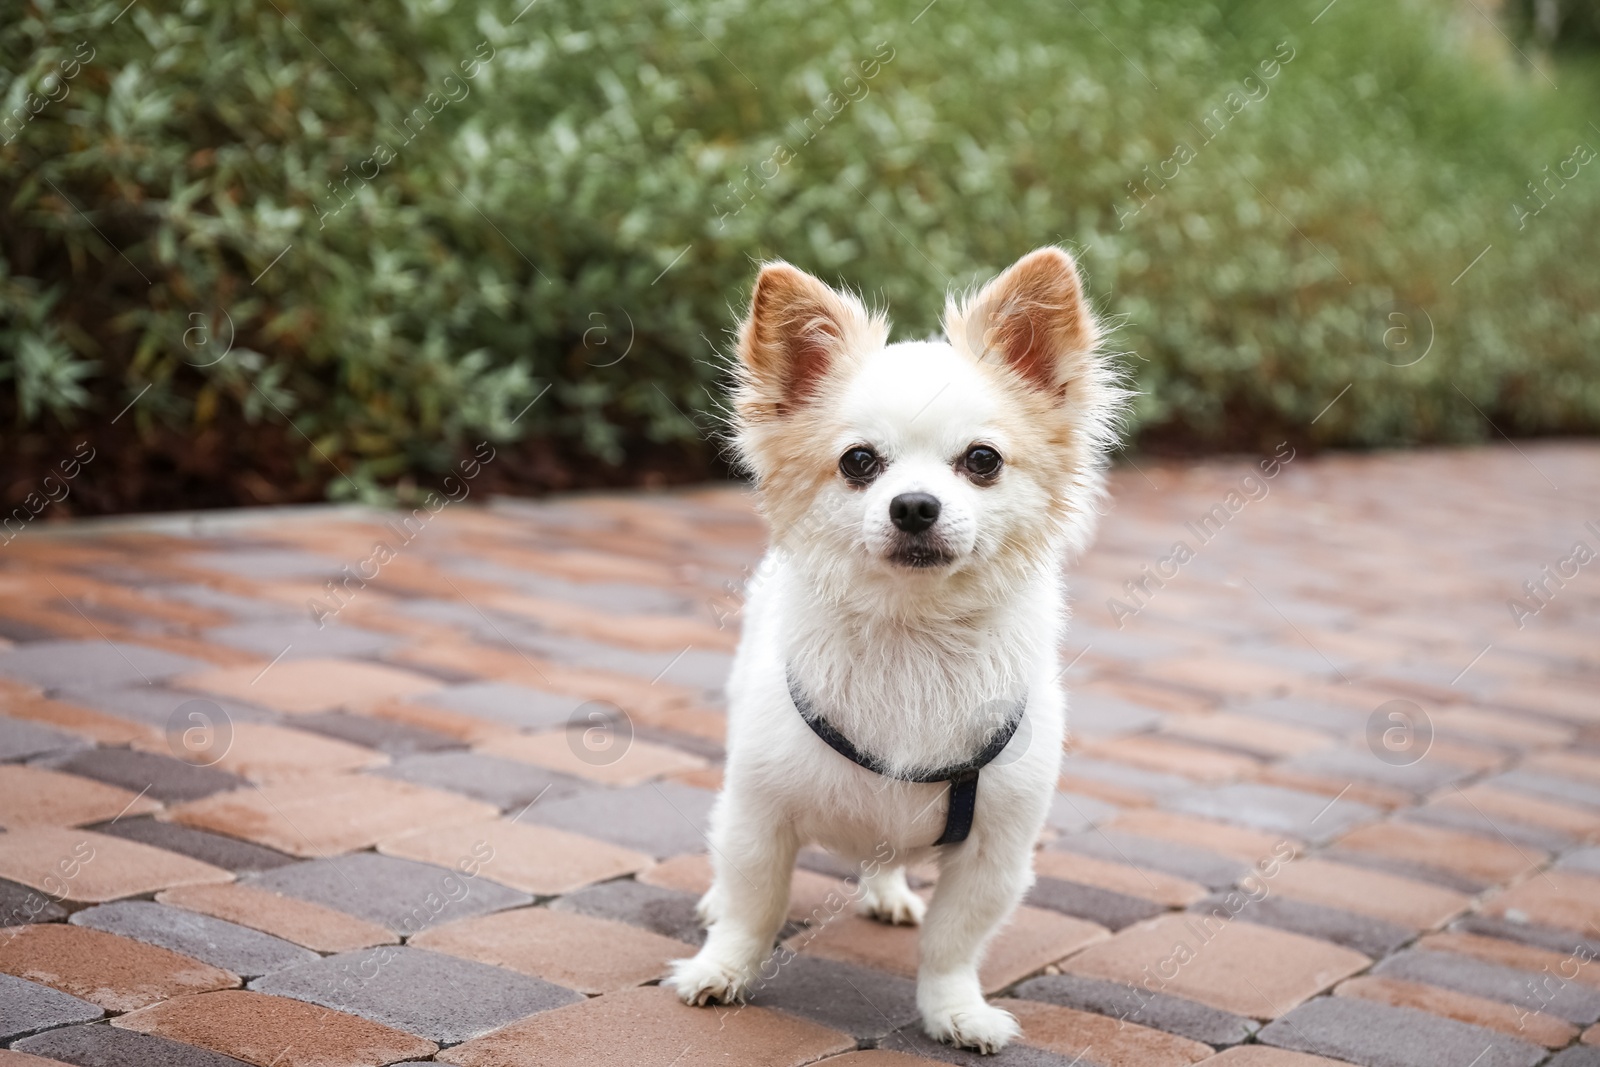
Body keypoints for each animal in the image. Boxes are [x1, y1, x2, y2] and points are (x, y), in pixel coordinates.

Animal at [668, 247, 1120, 1049]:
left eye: (982, 460)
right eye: (858, 462)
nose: (913, 505)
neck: (913, 636)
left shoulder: (996, 850)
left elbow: (953, 941)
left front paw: (955, 1012)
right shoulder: (760, 813)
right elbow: (755, 904)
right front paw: (720, 970)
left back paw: (887, 892)